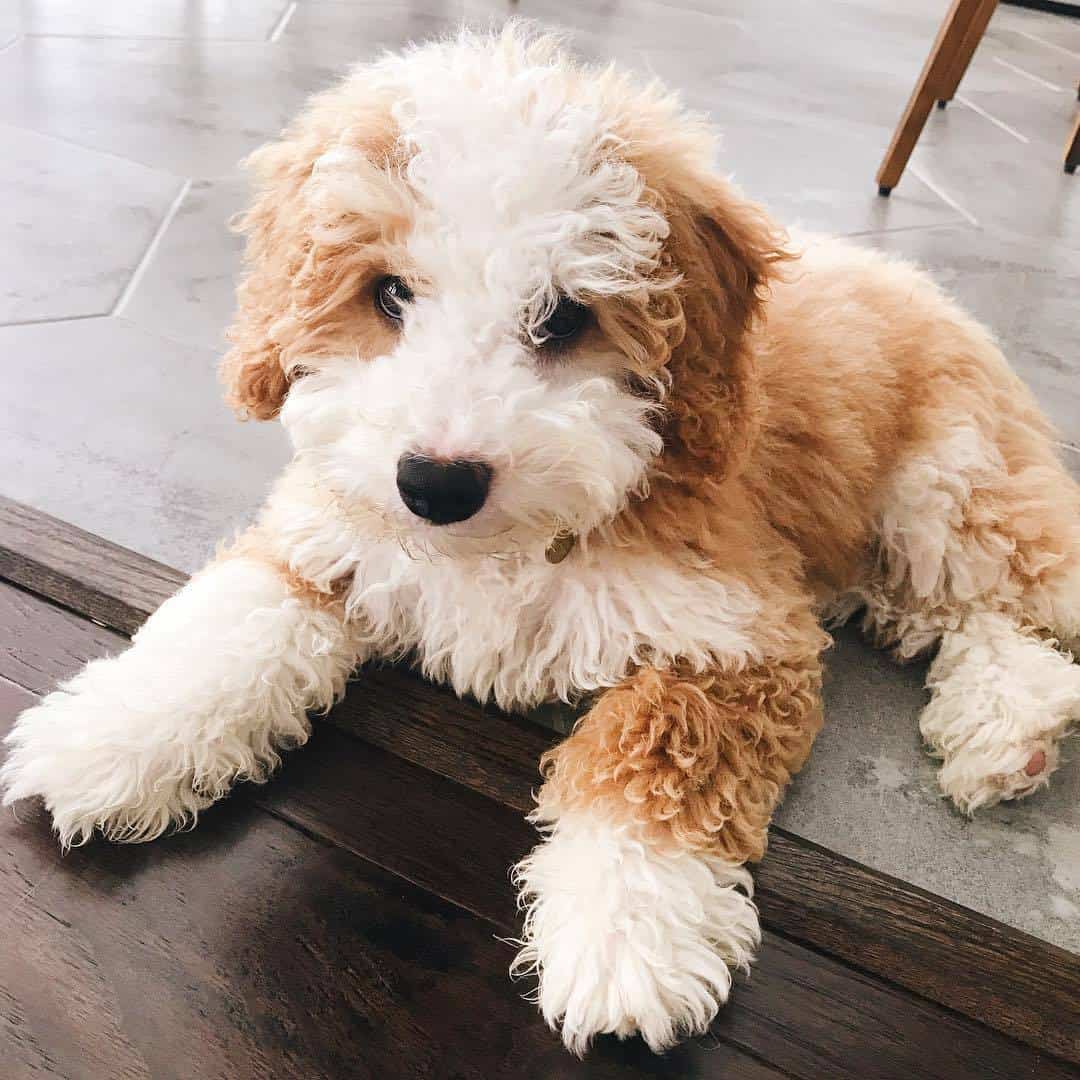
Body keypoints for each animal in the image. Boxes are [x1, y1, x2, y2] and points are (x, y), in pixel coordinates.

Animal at [2, 23, 1080, 1054]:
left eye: (565, 317)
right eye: (389, 294)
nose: (435, 482)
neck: (508, 547)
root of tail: (917, 281)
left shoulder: (734, 634)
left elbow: (653, 767)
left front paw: (629, 938)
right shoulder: (330, 534)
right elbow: (228, 627)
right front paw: (116, 737)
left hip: (951, 484)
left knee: (1022, 596)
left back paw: (1011, 726)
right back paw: (1003, 737)